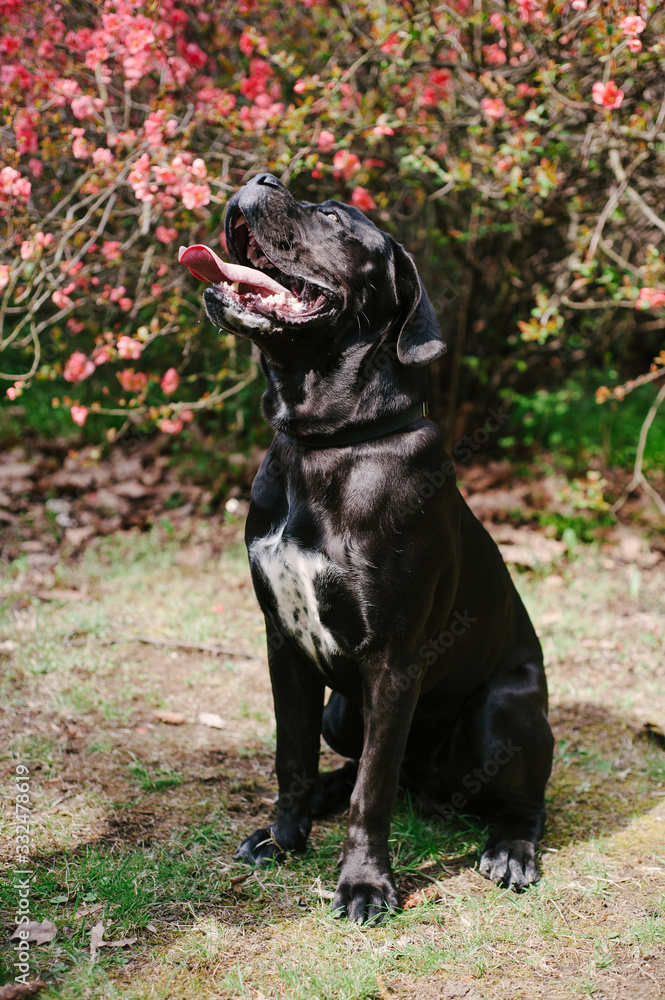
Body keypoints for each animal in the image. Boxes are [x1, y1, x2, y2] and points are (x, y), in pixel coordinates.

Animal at [179, 176, 552, 924]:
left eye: (330, 215)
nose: (259, 179)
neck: (325, 442)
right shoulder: (283, 643)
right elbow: (291, 756)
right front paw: (285, 835)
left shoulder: (394, 661)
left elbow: (372, 793)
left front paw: (364, 884)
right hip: (342, 711)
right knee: (357, 764)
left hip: (502, 709)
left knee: (517, 799)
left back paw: (510, 849)